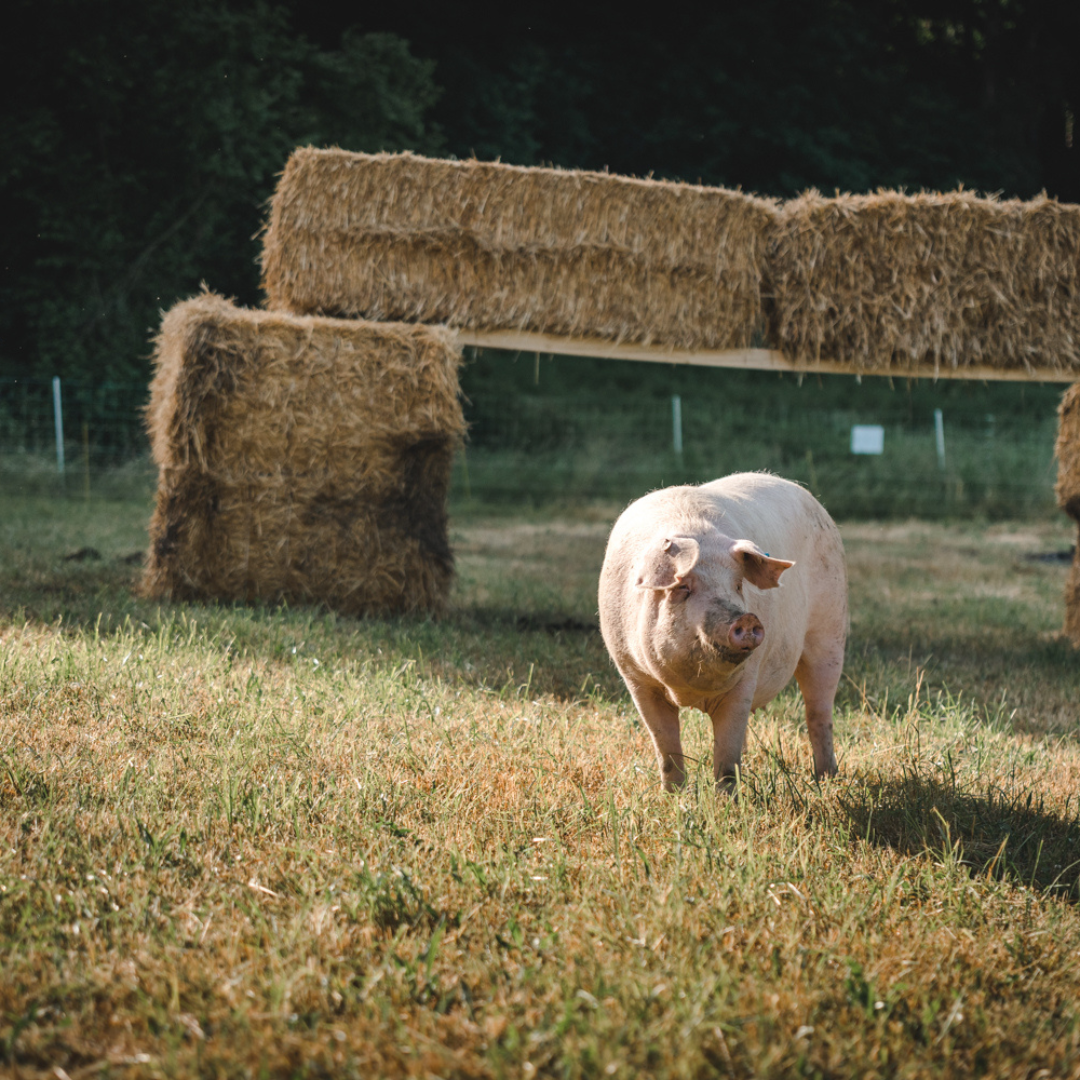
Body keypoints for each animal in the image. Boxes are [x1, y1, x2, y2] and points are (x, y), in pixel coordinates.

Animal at [600, 468, 842, 790]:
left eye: (738, 585)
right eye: (683, 588)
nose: (746, 619)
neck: (689, 688)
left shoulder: (746, 679)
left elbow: (726, 758)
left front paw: (726, 798)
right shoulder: (635, 676)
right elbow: (665, 746)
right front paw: (673, 794)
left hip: (830, 631)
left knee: (818, 710)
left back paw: (826, 779)